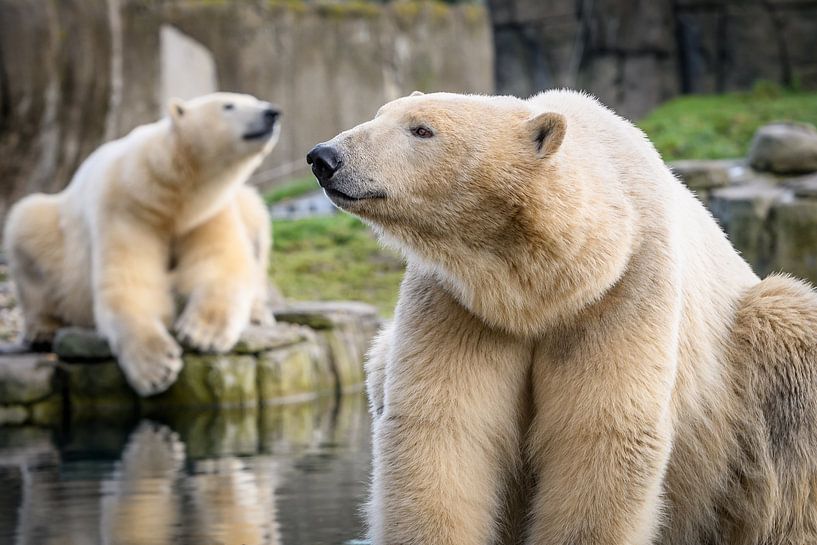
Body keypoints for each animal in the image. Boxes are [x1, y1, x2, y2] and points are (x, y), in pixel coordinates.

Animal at [4, 92, 279, 396]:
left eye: (255, 100)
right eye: (228, 106)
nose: (271, 113)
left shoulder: (208, 213)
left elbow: (219, 264)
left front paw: (203, 334)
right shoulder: (125, 210)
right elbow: (132, 281)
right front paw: (158, 367)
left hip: (246, 206)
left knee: (256, 221)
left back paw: (259, 314)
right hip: (52, 230)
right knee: (27, 229)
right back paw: (42, 330)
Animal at [307, 90, 817, 545]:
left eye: (421, 129)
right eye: (380, 113)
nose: (323, 156)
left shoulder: (626, 287)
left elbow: (603, 432)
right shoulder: (459, 301)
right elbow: (442, 428)